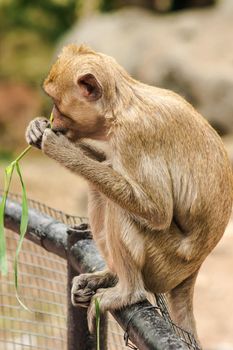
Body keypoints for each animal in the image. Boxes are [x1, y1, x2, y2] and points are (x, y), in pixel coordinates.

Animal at [25, 43, 233, 342]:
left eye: (56, 100)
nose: (54, 117)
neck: (121, 107)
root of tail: (192, 270)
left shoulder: (134, 137)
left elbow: (157, 211)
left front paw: (58, 148)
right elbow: (107, 164)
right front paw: (37, 129)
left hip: (165, 264)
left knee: (121, 208)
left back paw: (128, 291)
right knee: (101, 192)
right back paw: (109, 276)